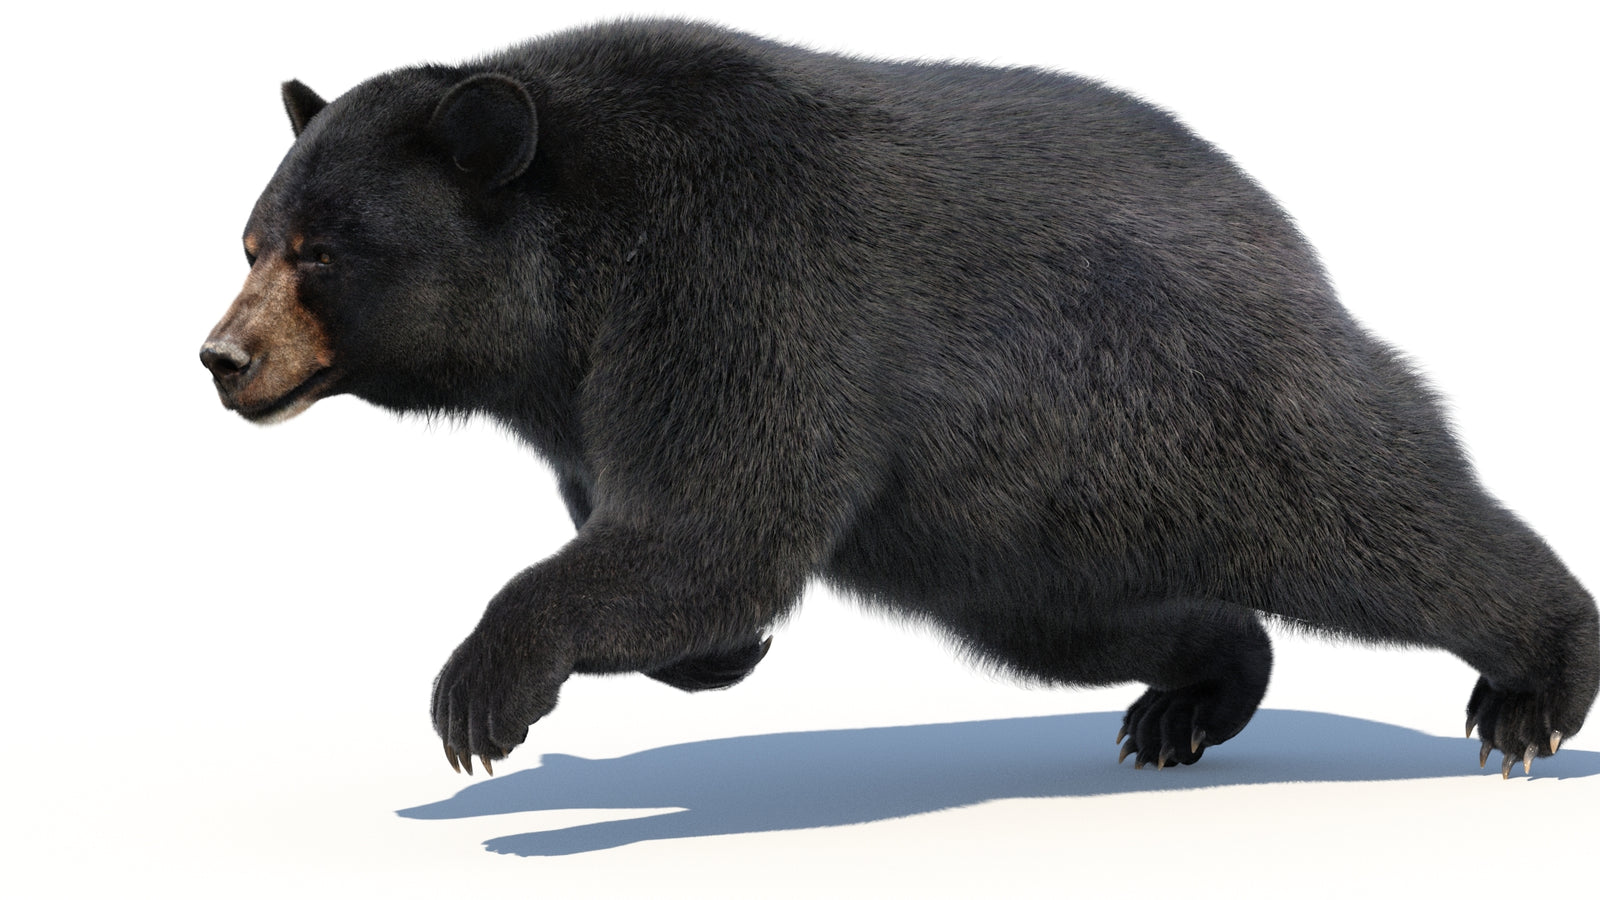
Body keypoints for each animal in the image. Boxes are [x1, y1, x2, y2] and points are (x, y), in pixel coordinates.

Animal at [201, 18, 1596, 779]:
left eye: (322, 251)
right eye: (254, 239)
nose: (222, 358)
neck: (571, 291)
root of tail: (1283, 232)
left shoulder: (737, 279)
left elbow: (717, 525)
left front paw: (479, 693)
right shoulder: (588, 394)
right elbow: (672, 546)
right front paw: (715, 656)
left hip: (1192, 402)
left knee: (1385, 521)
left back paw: (1530, 690)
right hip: (1014, 527)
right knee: (1078, 626)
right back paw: (1195, 693)